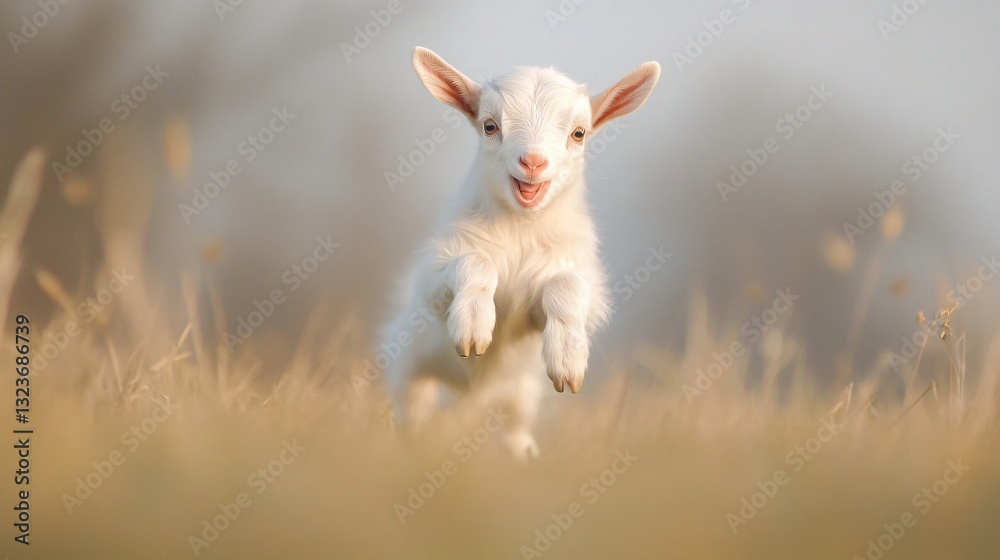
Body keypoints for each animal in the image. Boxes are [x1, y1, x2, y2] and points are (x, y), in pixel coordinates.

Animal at [383, 47, 660, 459]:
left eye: (579, 133)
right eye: (489, 126)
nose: (533, 162)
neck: (520, 232)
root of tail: (471, 396)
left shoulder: (566, 293)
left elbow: (567, 287)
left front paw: (568, 358)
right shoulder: (432, 278)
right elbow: (474, 262)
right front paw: (473, 326)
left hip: (521, 395)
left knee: (515, 430)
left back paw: (524, 458)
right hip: (407, 366)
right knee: (412, 411)